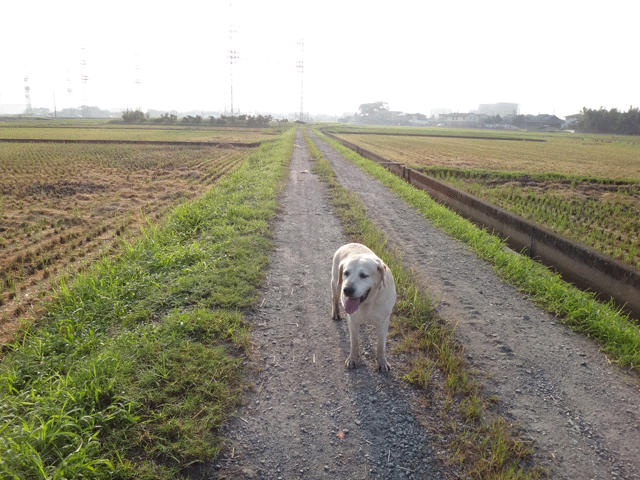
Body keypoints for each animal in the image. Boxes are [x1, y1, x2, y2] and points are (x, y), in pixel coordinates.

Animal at [336, 244, 396, 372]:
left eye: (363, 275)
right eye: (346, 273)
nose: (347, 290)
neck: (368, 302)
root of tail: (350, 243)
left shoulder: (383, 322)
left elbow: (381, 345)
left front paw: (382, 362)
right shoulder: (352, 321)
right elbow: (354, 342)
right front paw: (352, 359)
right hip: (335, 284)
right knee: (334, 298)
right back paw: (336, 313)